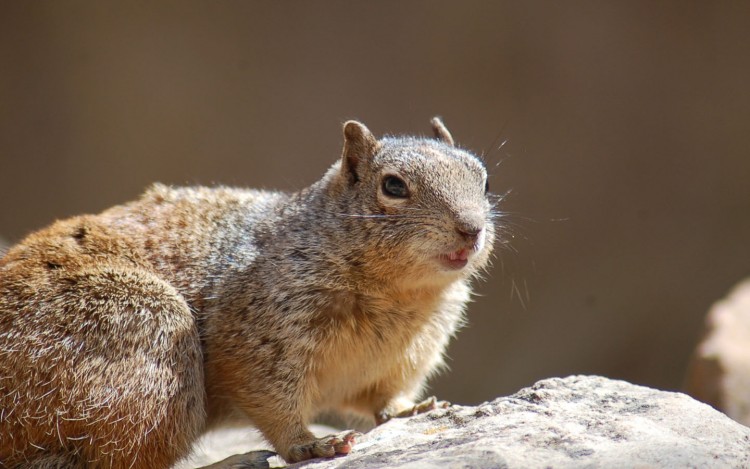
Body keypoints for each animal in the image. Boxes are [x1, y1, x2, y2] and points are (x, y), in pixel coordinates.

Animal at [0, 118, 500, 468]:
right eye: (393, 186)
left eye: (484, 179)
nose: (471, 229)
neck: (400, 295)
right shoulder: (259, 336)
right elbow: (270, 399)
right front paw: (310, 444)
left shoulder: (401, 360)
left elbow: (384, 400)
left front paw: (413, 409)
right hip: (148, 335)